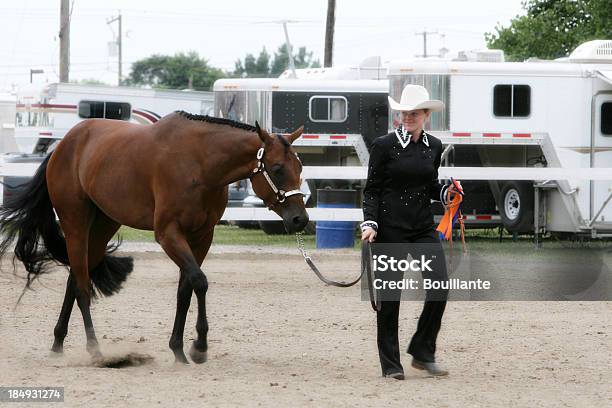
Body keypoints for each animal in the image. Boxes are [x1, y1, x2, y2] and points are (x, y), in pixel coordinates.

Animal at [0, 111, 306, 364]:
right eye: (277, 168)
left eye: (301, 168)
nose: (300, 219)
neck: (199, 163)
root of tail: (63, 145)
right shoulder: (169, 234)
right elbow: (200, 282)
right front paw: (199, 347)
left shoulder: (201, 237)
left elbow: (186, 289)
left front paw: (179, 349)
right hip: (75, 223)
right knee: (83, 286)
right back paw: (95, 350)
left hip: (103, 226)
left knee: (75, 279)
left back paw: (58, 343)